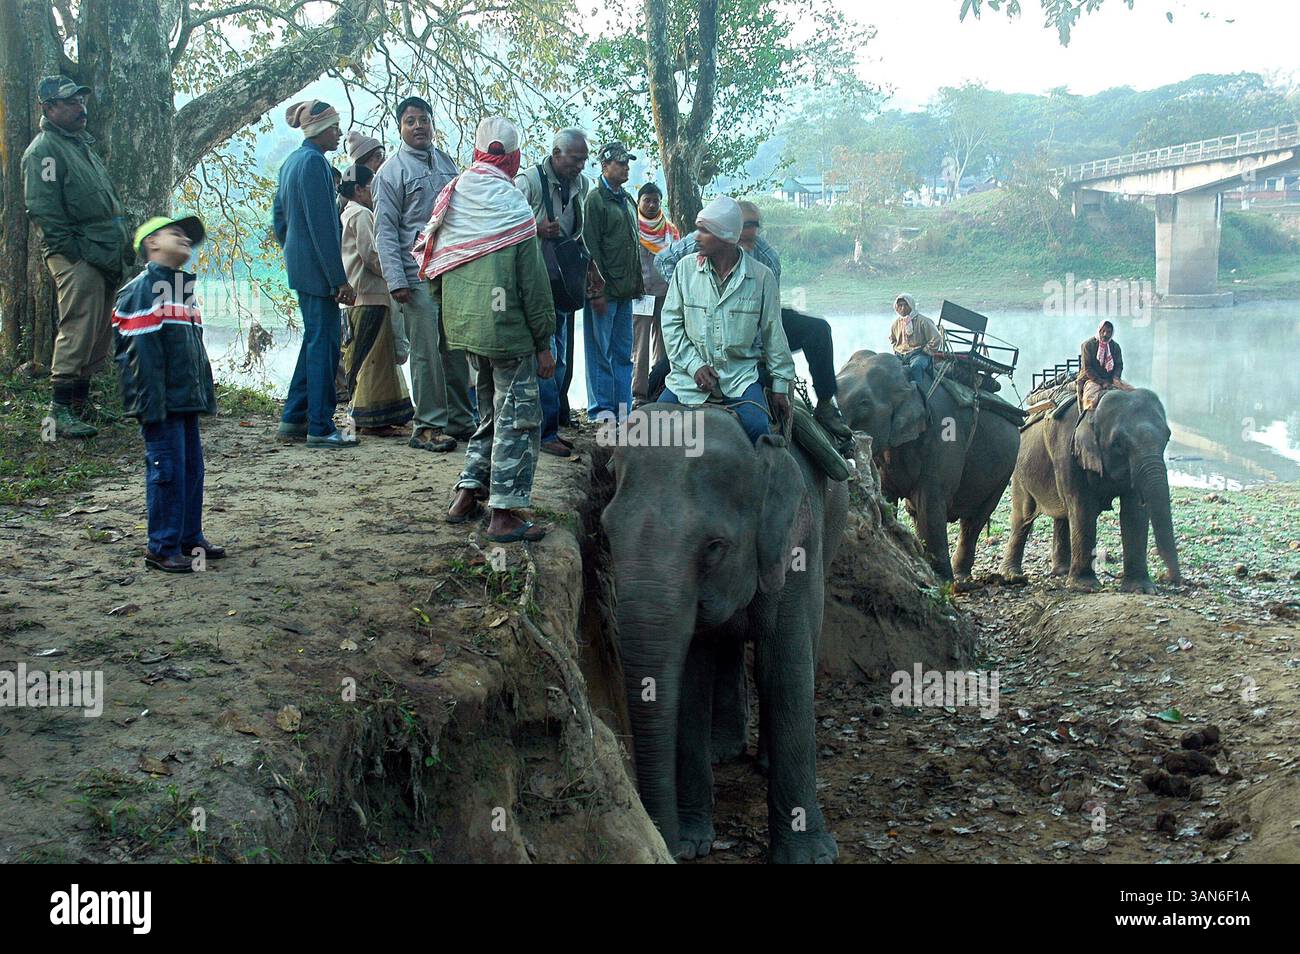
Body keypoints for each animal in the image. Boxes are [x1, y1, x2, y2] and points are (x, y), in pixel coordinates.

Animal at [600, 403, 848, 863]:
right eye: (606, 533)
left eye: (714, 547)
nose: (668, 846)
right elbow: (692, 676)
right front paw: (694, 842)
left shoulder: (795, 548)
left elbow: (784, 668)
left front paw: (809, 857)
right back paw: (724, 750)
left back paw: (761, 761)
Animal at [836, 350, 1020, 581]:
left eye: (863, 403)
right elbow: (887, 498)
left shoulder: (943, 435)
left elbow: (930, 505)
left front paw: (942, 582)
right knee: (917, 512)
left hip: (1005, 470)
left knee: (974, 520)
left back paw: (960, 579)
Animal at [1000, 387, 1182, 592]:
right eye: (1118, 443)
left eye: (1167, 437)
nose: (1168, 578)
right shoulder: (1067, 449)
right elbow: (1082, 506)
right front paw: (1085, 586)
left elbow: (1133, 511)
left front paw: (1141, 588)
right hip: (1019, 468)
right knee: (1023, 516)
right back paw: (1013, 576)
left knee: (1062, 514)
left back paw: (1062, 571)